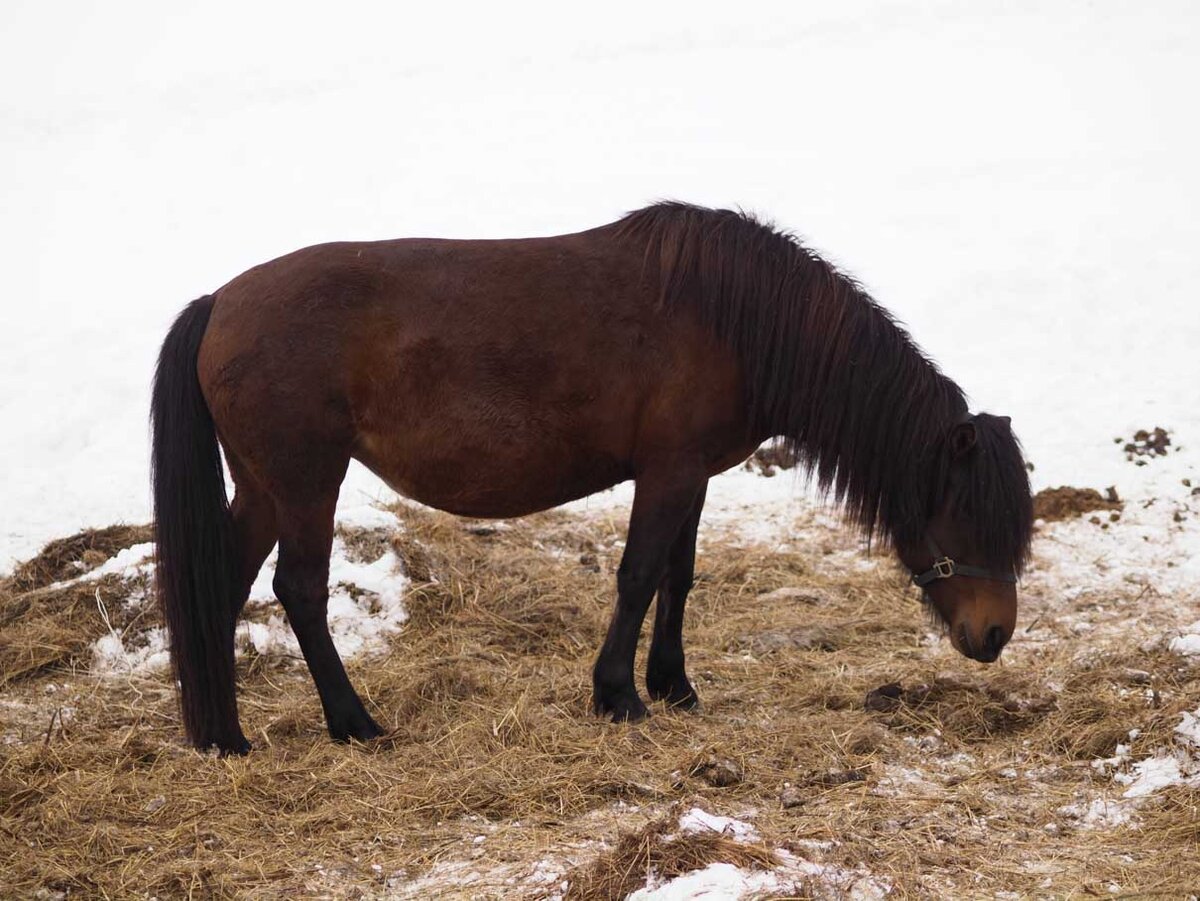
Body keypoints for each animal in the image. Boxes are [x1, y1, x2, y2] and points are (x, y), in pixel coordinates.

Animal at [150, 202, 1032, 753]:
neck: (735, 320)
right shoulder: (668, 471)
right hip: (307, 484)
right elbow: (639, 574)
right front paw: (618, 694)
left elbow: (678, 574)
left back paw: (225, 735)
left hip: (263, 489)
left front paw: (674, 685)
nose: (994, 635)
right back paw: (354, 723)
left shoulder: (692, 474)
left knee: (226, 582)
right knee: (298, 590)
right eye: (964, 516)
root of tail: (220, 302)